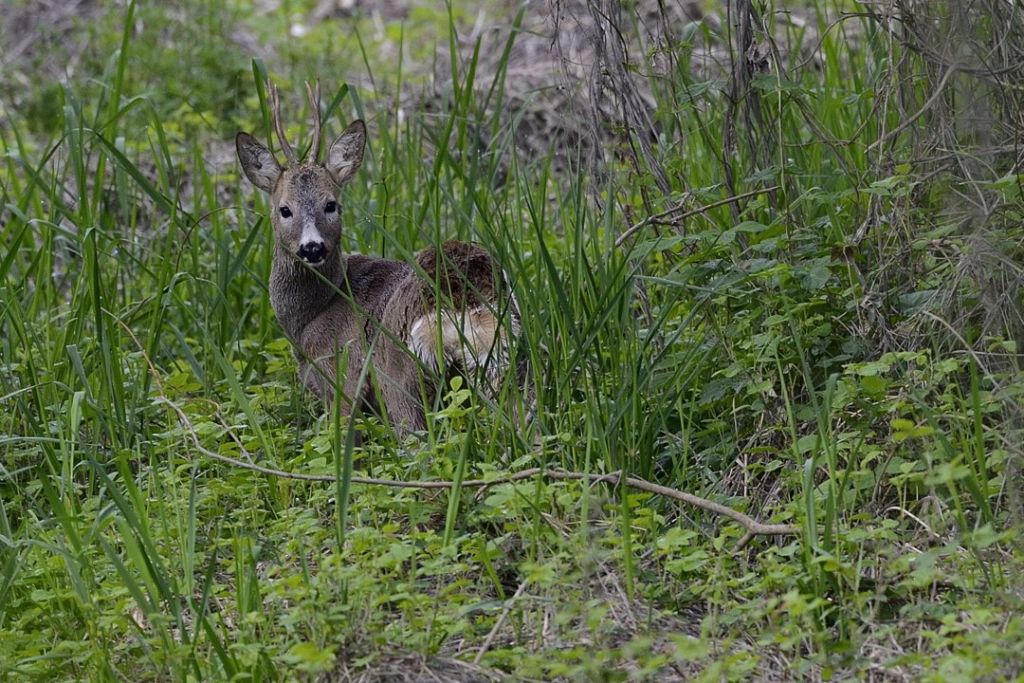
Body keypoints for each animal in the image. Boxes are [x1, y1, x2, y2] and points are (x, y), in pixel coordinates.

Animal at [234, 83, 516, 438]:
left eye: (331, 205)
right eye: (285, 209)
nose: (312, 248)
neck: (312, 314)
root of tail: (461, 299)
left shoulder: (341, 374)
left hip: (397, 374)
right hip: (503, 358)